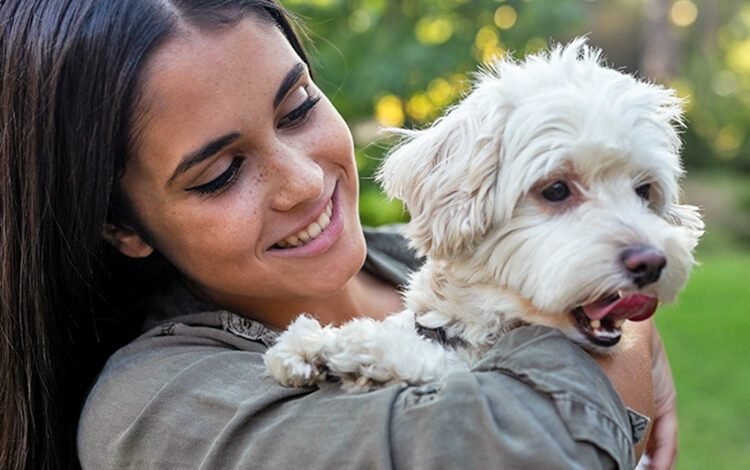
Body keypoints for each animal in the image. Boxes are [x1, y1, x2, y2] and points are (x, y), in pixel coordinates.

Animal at [264, 39, 704, 392]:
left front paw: (355, 351)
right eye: (556, 190)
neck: (469, 329)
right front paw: (313, 346)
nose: (651, 262)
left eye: (644, 190)